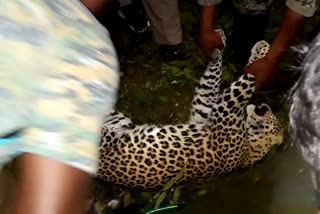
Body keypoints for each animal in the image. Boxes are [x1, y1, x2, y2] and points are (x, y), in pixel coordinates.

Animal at [97, 29, 282, 189]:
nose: (265, 105)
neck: (251, 146)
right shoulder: (204, 110)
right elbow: (211, 81)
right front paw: (219, 42)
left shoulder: (225, 113)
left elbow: (251, 78)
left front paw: (262, 55)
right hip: (118, 119)